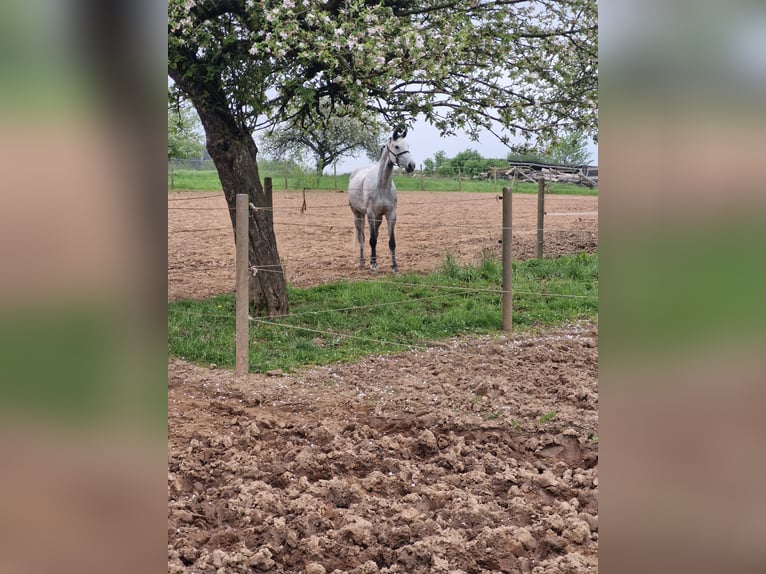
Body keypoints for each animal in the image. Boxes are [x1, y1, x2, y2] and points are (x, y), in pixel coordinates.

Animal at [350, 131, 416, 274]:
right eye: (396, 146)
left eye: (408, 145)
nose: (411, 166)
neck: (382, 185)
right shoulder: (371, 214)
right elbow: (372, 241)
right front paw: (374, 265)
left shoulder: (391, 214)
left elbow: (391, 242)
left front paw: (394, 266)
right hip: (357, 214)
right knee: (362, 238)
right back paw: (362, 262)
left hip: (378, 218)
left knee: (373, 235)